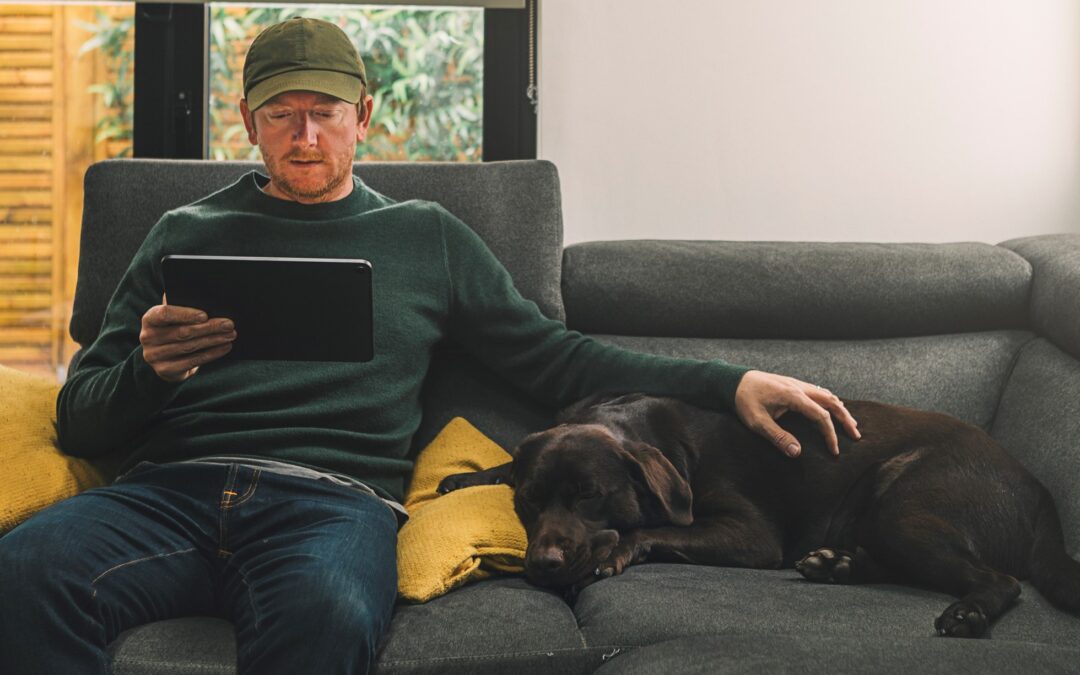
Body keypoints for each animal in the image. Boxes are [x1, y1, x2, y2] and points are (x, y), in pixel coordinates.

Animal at [438, 393, 1080, 635]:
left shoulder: (751, 533)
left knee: (999, 579)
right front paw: (461, 478)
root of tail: (1039, 488)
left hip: (906, 505)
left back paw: (969, 612)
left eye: (590, 495)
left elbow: (658, 525)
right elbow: (506, 459)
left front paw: (614, 551)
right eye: (529, 502)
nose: (543, 565)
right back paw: (836, 565)